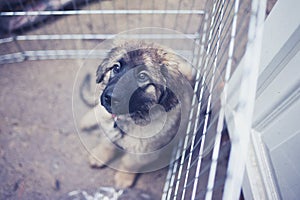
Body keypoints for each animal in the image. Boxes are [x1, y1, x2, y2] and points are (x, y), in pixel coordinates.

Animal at [81, 40, 196, 188]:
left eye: (142, 76)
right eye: (116, 68)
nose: (110, 97)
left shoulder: (144, 152)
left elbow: (130, 163)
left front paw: (123, 178)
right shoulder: (110, 129)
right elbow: (106, 143)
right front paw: (100, 155)